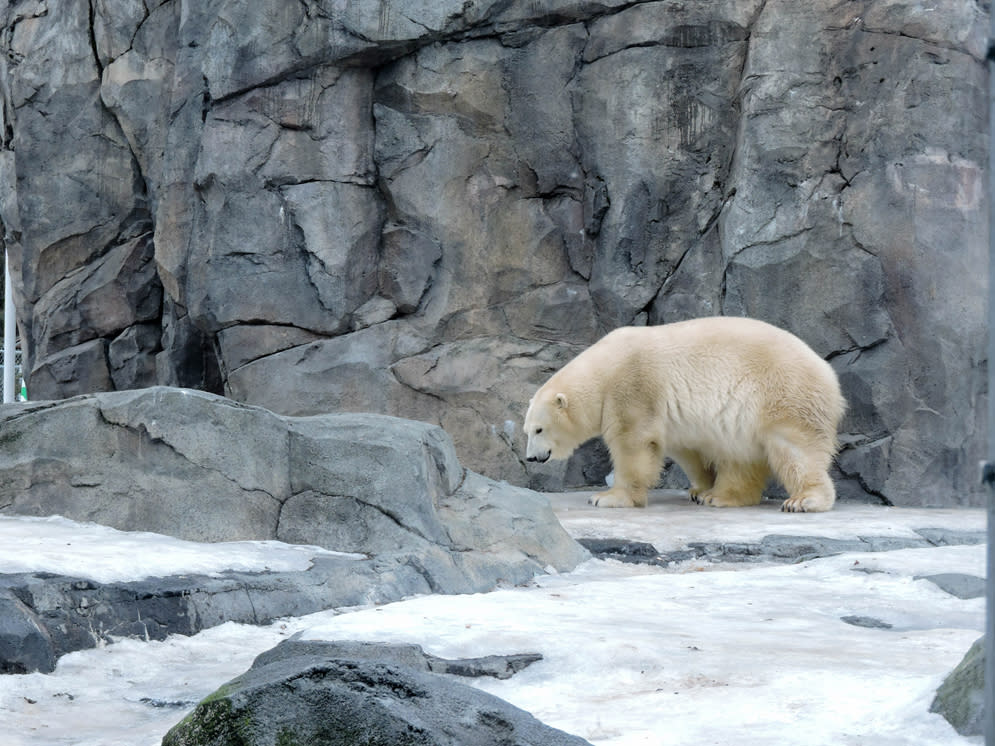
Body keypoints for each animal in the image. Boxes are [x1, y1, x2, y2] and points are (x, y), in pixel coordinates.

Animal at [523, 316, 846, 513]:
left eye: (539, 429)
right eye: (527, 431)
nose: (531, 458)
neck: (603, 370)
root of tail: (829, 375)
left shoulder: (633, 388)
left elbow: (633, 445)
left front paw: (607, 497)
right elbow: (687, 451)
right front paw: (699, 488)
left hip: (783, 396)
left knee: (795, 450)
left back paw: (804, 500)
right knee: (740, 456)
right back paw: (719, 495)